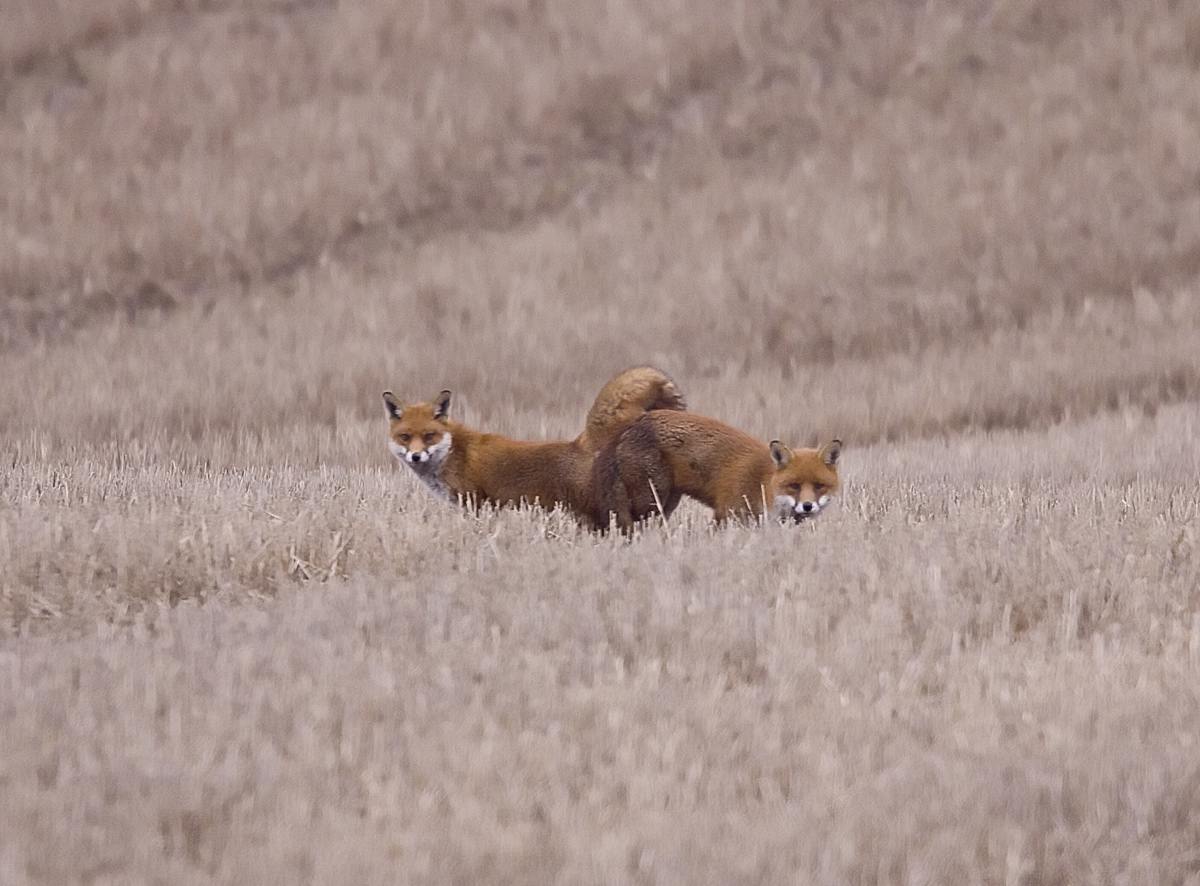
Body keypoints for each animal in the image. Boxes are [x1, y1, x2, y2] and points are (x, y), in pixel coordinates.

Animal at [382, 366, 686, 525]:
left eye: (429, 436)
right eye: (405, 437)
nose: (416, 456)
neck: (454, 452)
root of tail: (582, 442)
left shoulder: (474, 502)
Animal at [592, 409, 842, 531]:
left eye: (819, 486)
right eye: (794, 486)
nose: (807, 506)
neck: (763, 482)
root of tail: (632, 425)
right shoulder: (727, 512)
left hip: (666, 502)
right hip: (650, 501)